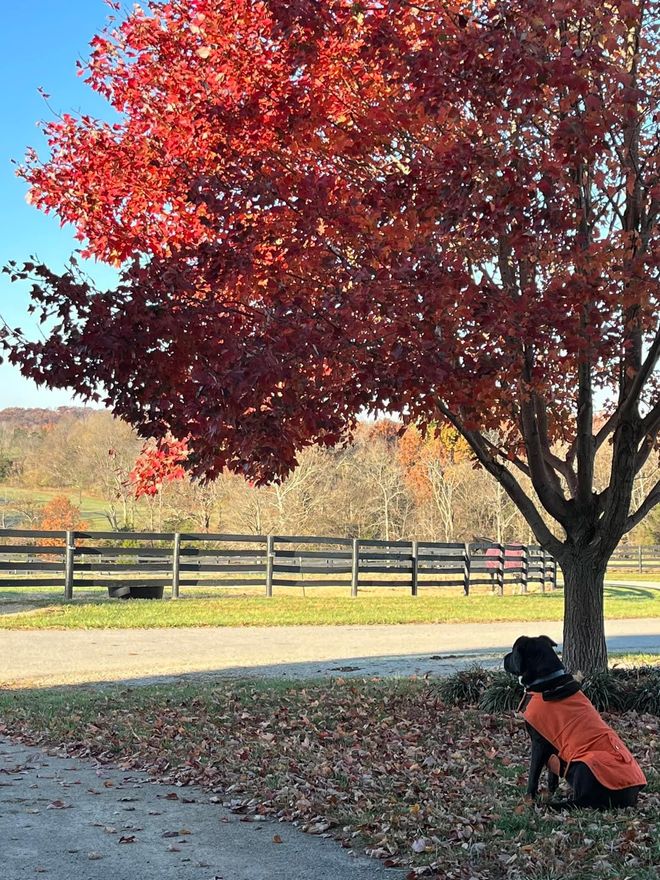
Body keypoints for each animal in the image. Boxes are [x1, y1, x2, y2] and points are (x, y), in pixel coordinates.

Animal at [502, 636, 648, 808]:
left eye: (514, 651)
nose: (504, 658)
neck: (547, 680)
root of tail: (630, 798)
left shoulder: (539, 743)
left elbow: (533, 774)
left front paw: (528, 799)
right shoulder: (553, 746)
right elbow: (552, 774)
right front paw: (550, 793)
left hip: (584, 764)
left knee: (582, 800)